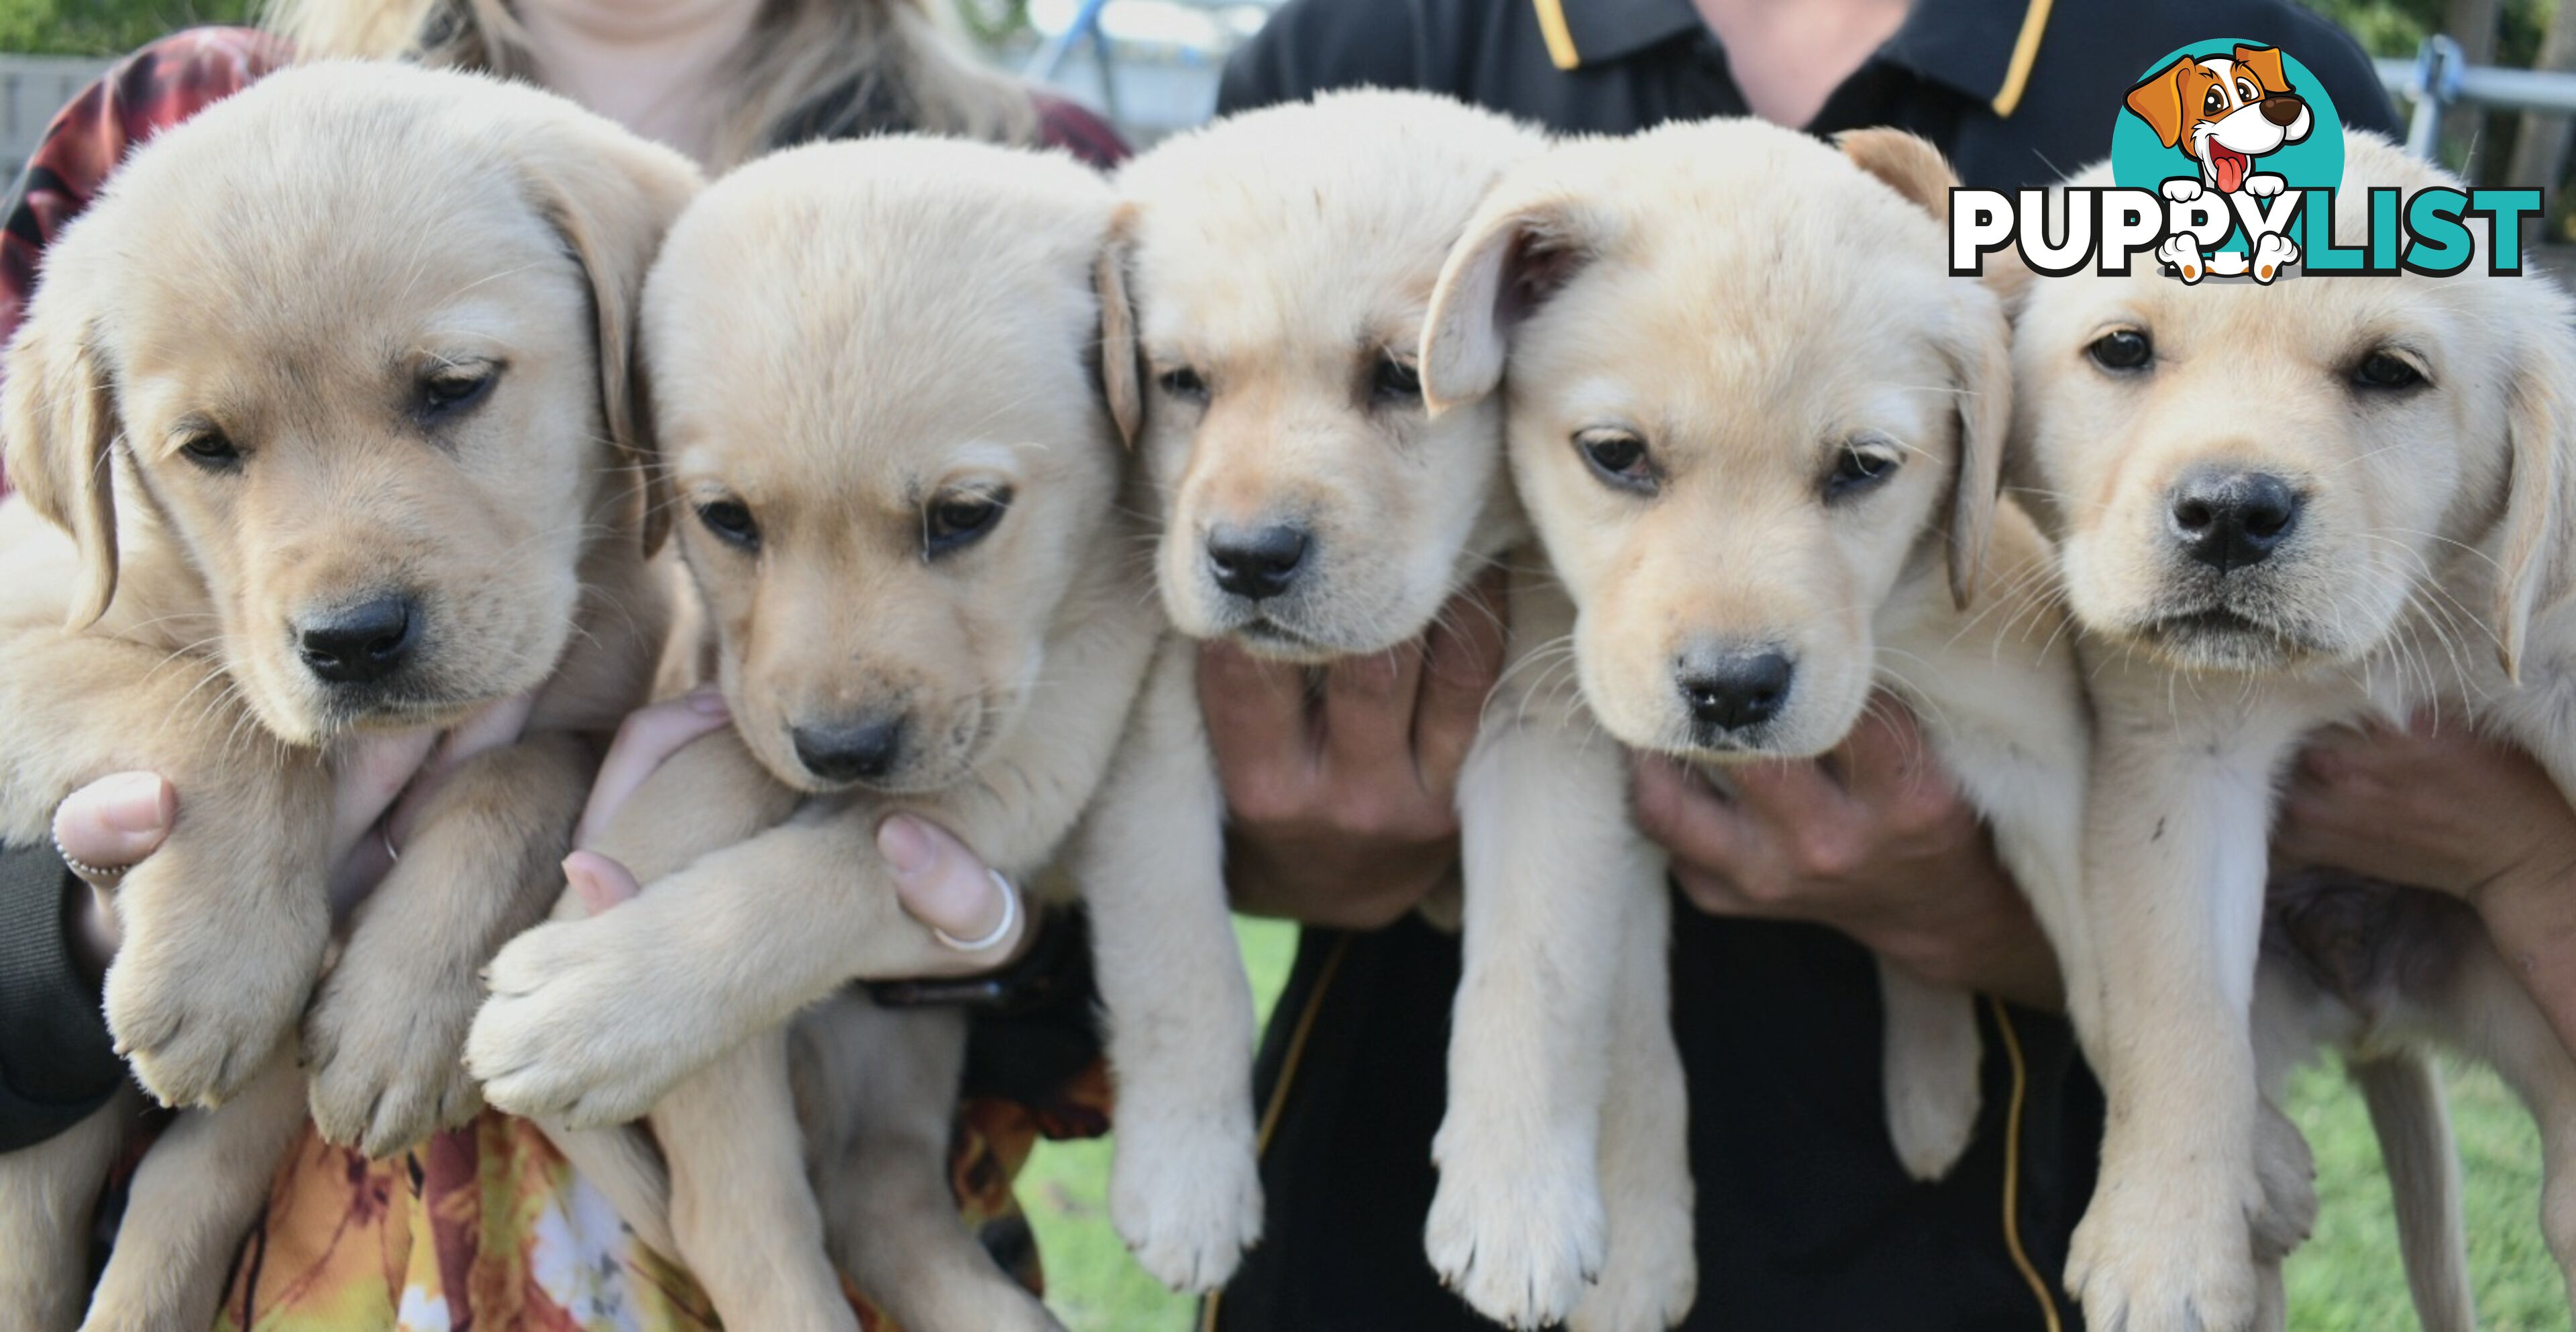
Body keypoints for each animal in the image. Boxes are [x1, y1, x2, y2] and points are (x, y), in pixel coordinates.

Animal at [0, 62, 690, 1329]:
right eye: (206, 448)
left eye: (454, 388)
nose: (354, 641)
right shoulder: (30, 631)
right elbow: (213, 716)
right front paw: (219, 963)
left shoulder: (592, 696)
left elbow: (522, 777)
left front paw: (400, 1021)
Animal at [1102, 88, 1525, 1293]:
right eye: (1183, 383)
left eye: (1398, 375)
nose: (1249, 558)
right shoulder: (1155, 739)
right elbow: (1178, 968)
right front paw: (1188, 1185)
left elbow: (1536, 973)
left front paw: (1518, 1209)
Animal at [1421, 119, 2102, 1319]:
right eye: (1616, 454)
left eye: (1863, 468)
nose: (1732, 689)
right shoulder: (1606, 789)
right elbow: (1606, 1022)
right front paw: (1618, 1253)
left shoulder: (2045, 759)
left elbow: (2144, 994)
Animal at [2009, 130, 2576, 1319]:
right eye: (2122, 350)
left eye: (2390, 373)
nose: (2229, 511)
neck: (2391, 638)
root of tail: (2371, 1008)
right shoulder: (2187, 758)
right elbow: (2177, 1009)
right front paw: (2162, 1252)